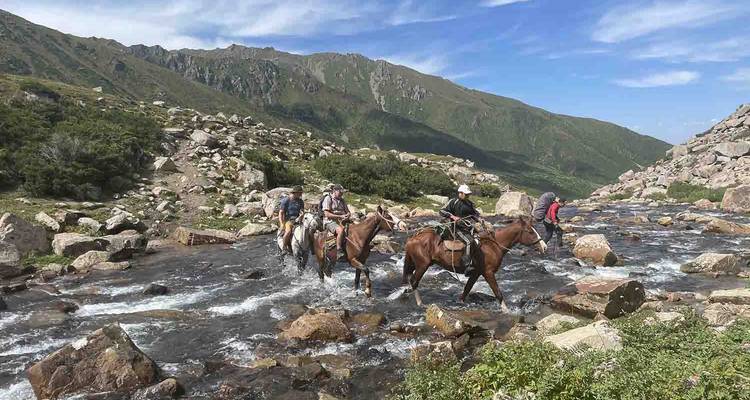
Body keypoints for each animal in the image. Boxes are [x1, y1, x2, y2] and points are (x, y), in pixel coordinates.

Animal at [402, 218, 547, 311]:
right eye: (530, 232)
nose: (544, 246)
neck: (494, 245)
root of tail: (412, 238)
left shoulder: (476, 273)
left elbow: (467, 289)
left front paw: (460, 303)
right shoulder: (488, 273)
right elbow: (498, 293)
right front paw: (507, 312)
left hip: (416, 263)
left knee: (410, 278)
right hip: (422, 265)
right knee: (414, 281)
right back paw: (419, 302)